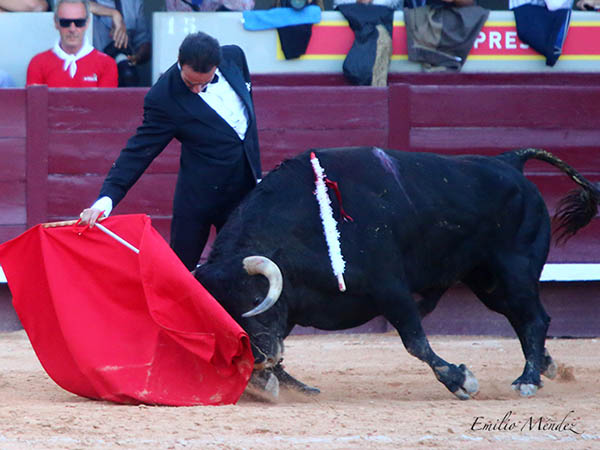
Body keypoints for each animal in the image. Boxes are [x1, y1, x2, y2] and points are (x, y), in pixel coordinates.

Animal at [193, 147, 599, 400]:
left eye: (255, 298)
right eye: (220, 313)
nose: (258, 356)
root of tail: (509, 162)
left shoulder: (390, 289)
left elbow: (415, 342)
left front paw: (461, 380)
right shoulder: (295, 303)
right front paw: (278, 384)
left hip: (513, 270)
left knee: (534, 318)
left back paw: (527, 380)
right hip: (487, 281)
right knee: (522, 318)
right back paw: (545, 366)